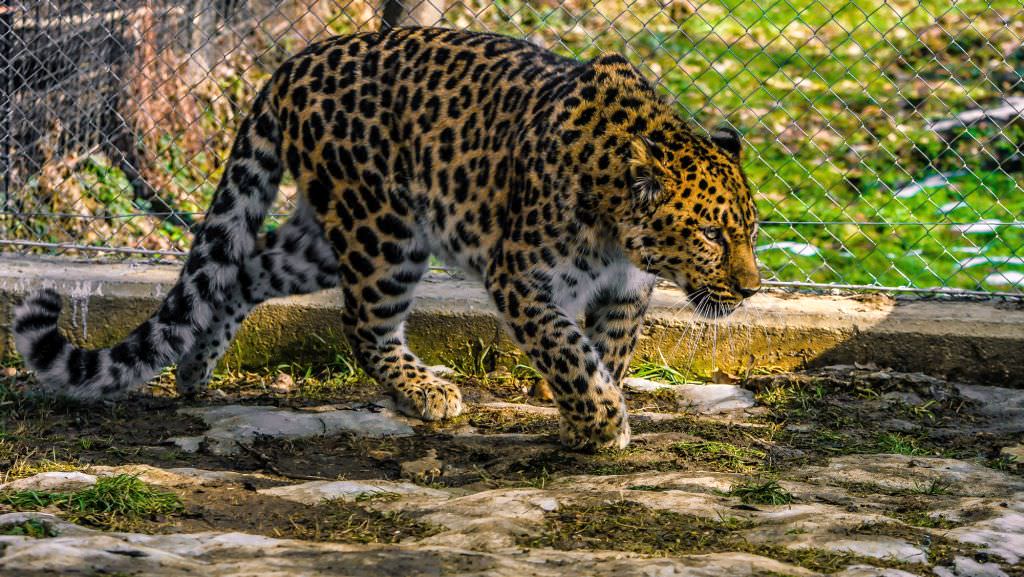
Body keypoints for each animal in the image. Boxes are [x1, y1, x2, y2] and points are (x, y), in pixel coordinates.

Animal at [9, 27, 761, 450]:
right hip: (384, 230)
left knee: (243, 272)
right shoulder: (523, 279)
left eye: (751, 232)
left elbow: (608, 354)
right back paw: (426, 392)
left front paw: (590, 420)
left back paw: (196, 368)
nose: (752, 289)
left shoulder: (626, 294)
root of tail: (296, 59)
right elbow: (569, 352)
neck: (618, 227)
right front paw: (602, 422)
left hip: (327, 237)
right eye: (709, 234)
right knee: (362, 321)